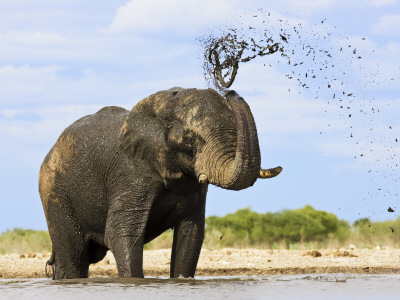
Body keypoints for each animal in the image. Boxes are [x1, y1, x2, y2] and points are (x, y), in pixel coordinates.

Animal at [37, 86, 282, 278]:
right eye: (190, 138)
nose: (231, 91)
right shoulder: (130, 173)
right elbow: (121, 234)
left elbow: (190, 235)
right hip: (55, 192)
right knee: (74, 257)